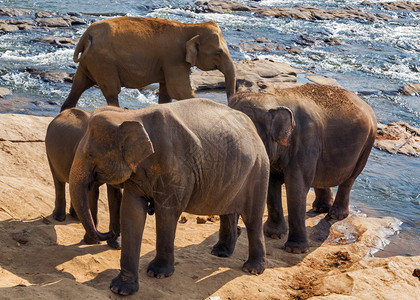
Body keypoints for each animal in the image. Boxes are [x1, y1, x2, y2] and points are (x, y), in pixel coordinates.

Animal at [45, 107, 123, 248]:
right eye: (91, 154)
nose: (111, 232)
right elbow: (92, 191)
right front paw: (91, 241)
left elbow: (116, 195)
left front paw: (115, 244)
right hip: (49, 152)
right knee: (58, 181)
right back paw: (58, 217)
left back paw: (75, 216)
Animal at [60, 16, 236, 110]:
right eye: (219, 53)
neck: (190, 27)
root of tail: (85, 36)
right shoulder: (173, 58)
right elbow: (179, 90)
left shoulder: (169, 62)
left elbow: (167, 92)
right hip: (104, 63)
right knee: (111, 90)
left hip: (90, 62)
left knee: (79, 85)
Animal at [66, 99, 270, 296]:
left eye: (90, 154)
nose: (109, 233)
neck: (132, 115)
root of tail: (254, 130)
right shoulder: (138, 172)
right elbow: (132, 212)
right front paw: (120, 289)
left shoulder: (175, 168)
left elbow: (167, 213)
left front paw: (157, 273)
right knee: (227, 211)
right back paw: (220, 253)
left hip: (259, 169)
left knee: (253, 218)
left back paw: (252, 269)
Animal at [230, 84, 378, 253]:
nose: (238, 230)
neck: (274, 98)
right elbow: (271, 184)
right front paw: (274, 235)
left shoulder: (305, 143)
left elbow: (296, 187)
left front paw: (295, 250)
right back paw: (321, 208)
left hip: (367, 143)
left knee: (350, 179)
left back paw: (336, 215)